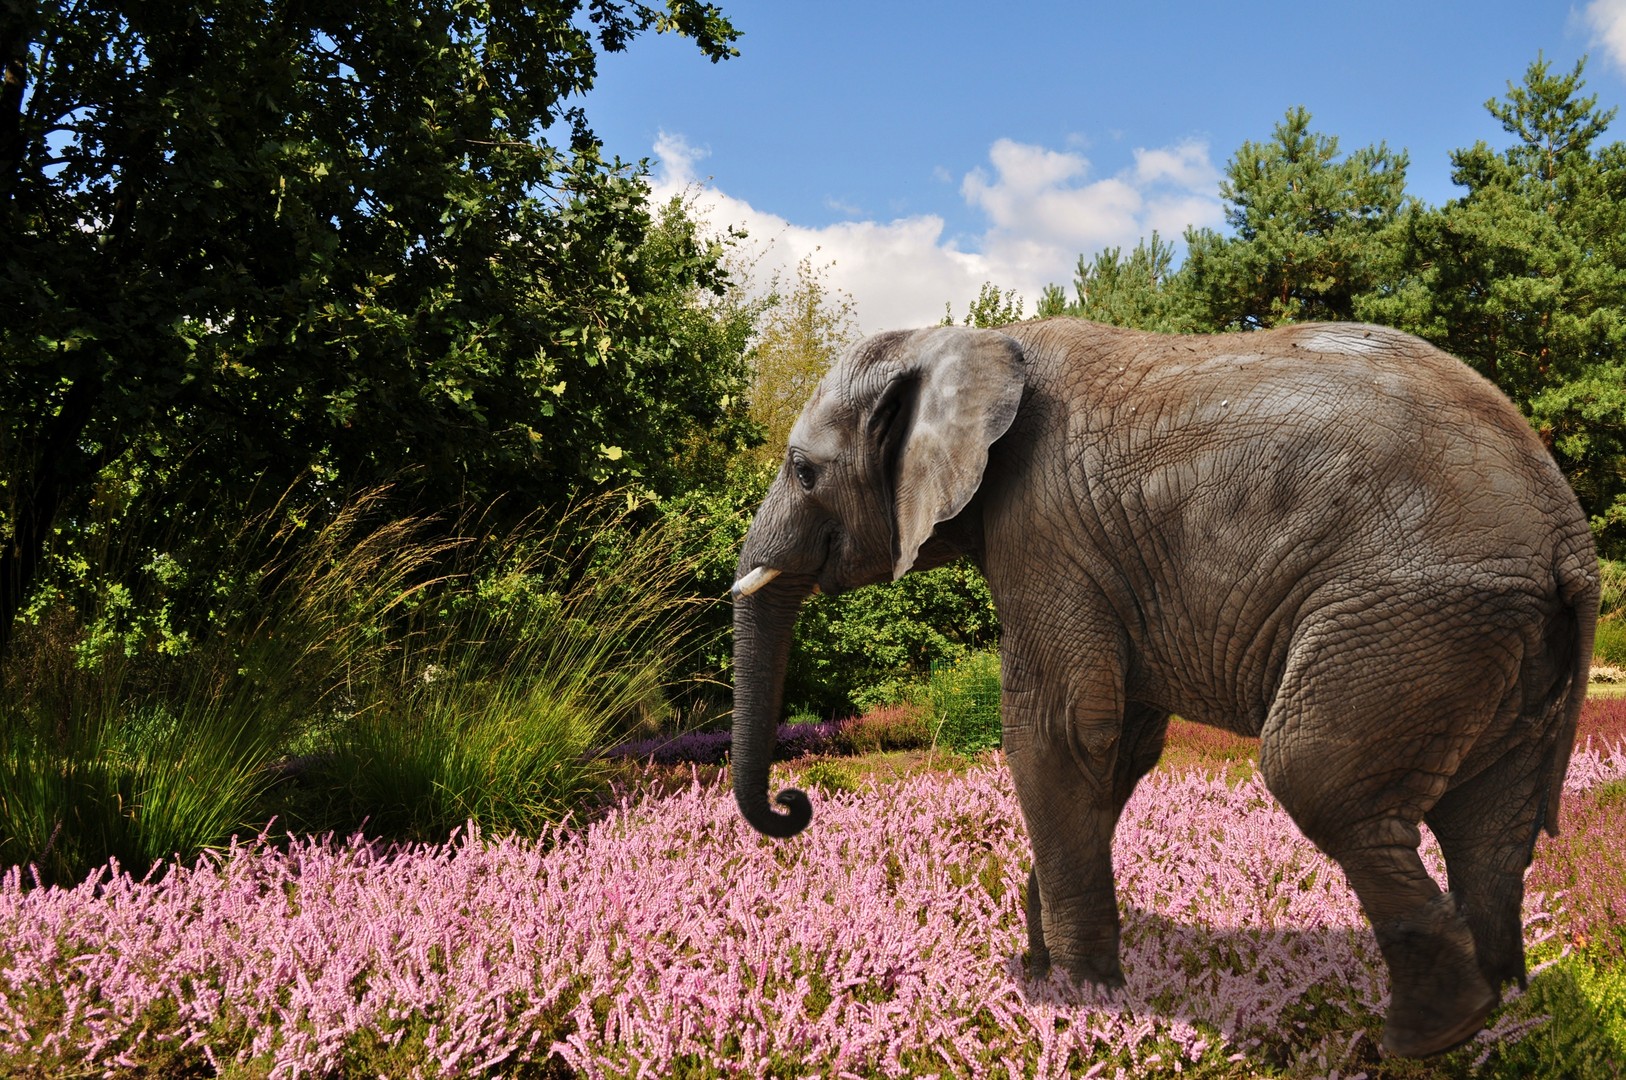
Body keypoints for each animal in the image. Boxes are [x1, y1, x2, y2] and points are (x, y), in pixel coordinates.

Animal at [727, 318, 1599, 1058]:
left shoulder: (1043, 530)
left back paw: (1428, 1036)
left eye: (803, 471)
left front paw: (1077, 998)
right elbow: (1116, 747)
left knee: (1317, 776)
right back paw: (1504, 1020)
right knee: (1489, 826)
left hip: (1411, 615)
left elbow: (1059, 729)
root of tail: (1571, 537)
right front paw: (1050, 975)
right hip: (1493, 638)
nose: (795, 806)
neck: (968, 341)